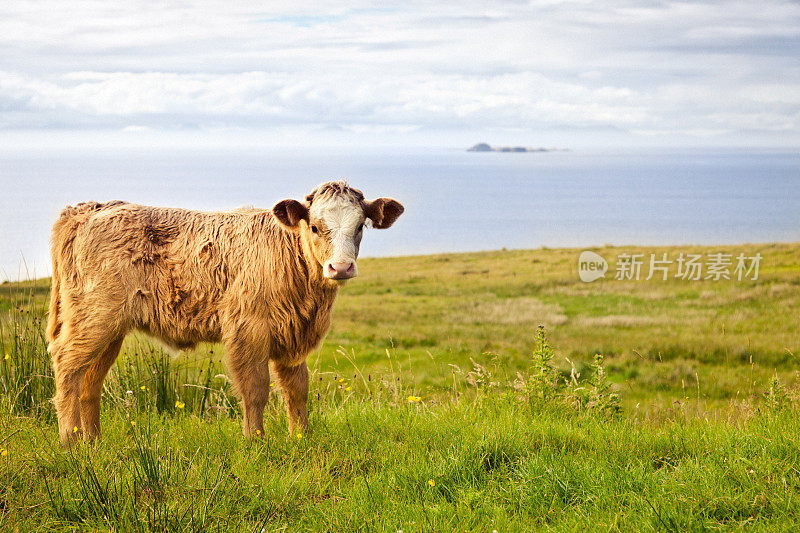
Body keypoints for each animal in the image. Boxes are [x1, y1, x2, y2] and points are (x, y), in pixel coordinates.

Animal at [47, 181, 404, 442]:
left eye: (360, 227)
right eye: (315, 227)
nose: (340, 267)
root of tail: (90, 208)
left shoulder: (293, 338)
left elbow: (298, 389)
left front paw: (301, 437)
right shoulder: (249, 332)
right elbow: (256, 390)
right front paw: (256, 440)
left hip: (110, 329)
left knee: (91, 380)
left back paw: (93, 441)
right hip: (93, 317)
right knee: (67, 367)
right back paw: (70, 440)